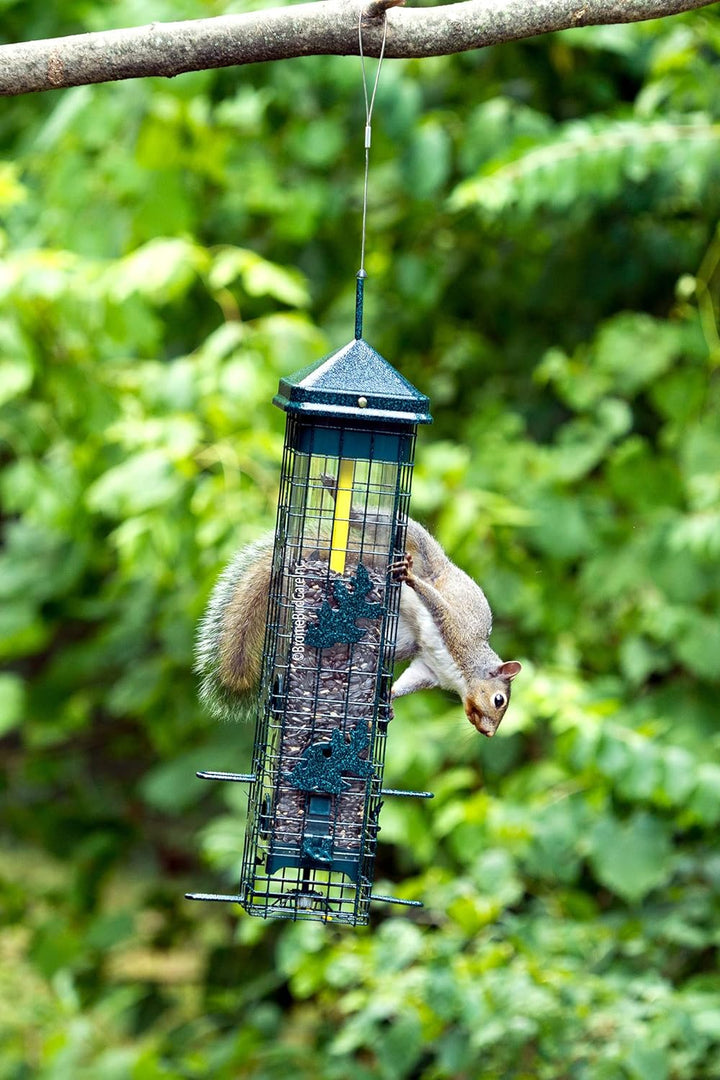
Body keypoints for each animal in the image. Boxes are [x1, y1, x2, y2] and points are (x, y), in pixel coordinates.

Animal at [196, 502, 522, 736]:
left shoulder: (429, 668)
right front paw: (411, 579)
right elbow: (436, 603)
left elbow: (410, 679)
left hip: (403, 640)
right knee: (387, 524)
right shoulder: (456, 630)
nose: (488, 733)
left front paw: (388, 700)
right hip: (421, 548)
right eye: (499, 700)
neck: (462, 673)